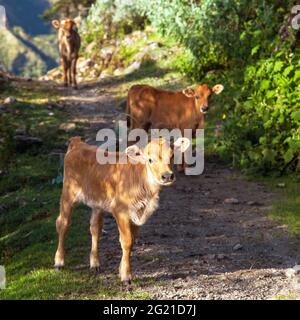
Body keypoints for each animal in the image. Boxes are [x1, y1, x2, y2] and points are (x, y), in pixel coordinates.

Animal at [54, 136, 190, 284]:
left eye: (172, 156)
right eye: (150, 159)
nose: (167, 176)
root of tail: (77, 143)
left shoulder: (138, 213)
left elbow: (132, 240)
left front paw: (121, 270)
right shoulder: (120, 210)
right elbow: (126, 241)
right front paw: (126, 275)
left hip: (97, 203)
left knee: (95, 228)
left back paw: (95, 263)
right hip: (68, 194)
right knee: (63, 223)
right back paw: (59, 262)